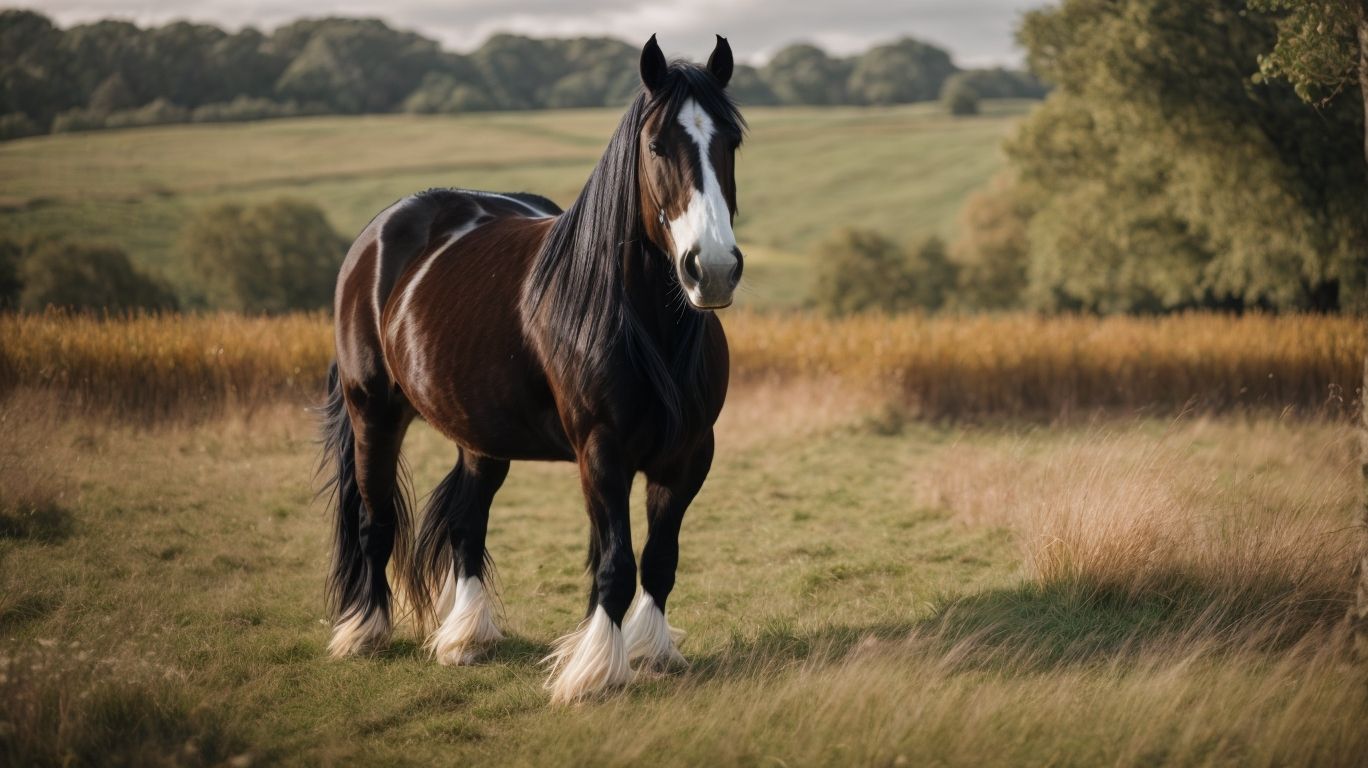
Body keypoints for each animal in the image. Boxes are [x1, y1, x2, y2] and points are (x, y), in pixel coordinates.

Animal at [317, 34, 745, 703]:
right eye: (656, 146)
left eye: (730, 142)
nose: (715, 269)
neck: (640, 324)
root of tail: (377, 237)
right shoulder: (601, 452)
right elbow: (616, 565)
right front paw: (593, 674)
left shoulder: (690, 455)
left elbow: (659, 560)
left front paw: (651, 653)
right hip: (373, 414)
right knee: (374, 518)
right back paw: (365, 631)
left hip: (479, 437)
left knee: (467, 526)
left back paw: (465, 639)